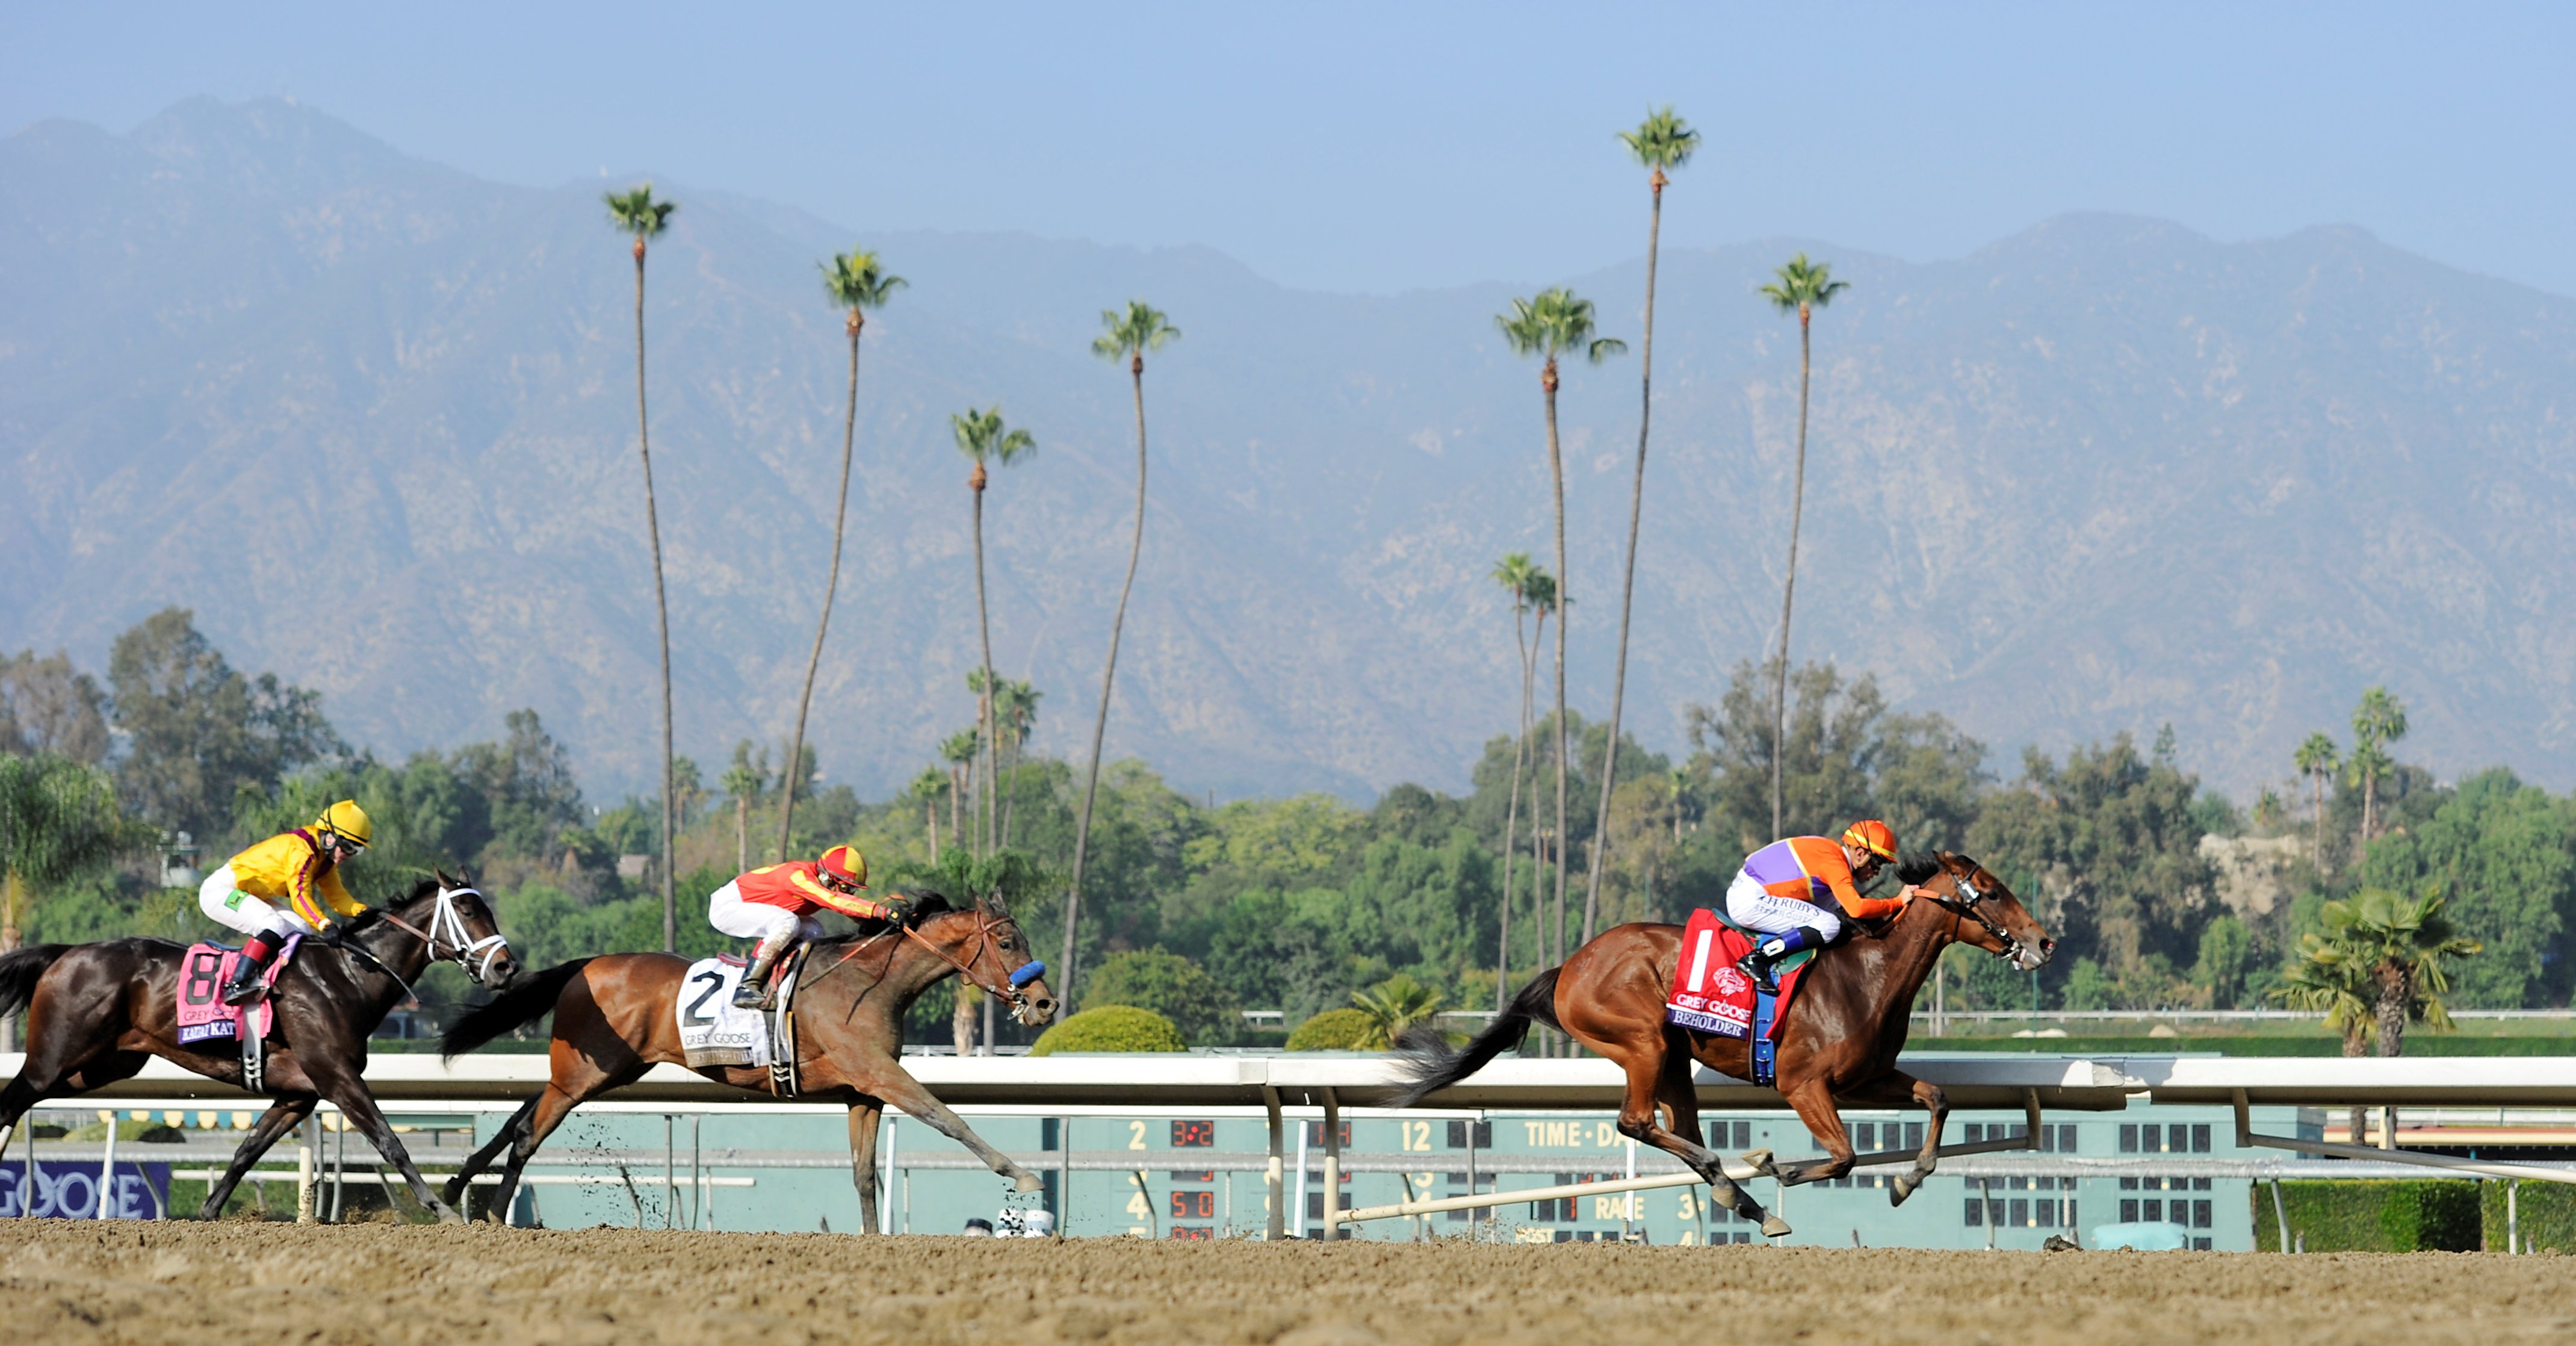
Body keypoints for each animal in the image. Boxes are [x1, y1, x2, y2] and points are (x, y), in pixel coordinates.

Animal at [0, 876, 518, 1222]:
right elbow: (391, 1142)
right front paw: (442, 1209)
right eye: (469, 912)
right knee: (13, 1097)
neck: (348, 975)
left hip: (103, 1066)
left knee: (20, 1099)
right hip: (57, 1056)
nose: (507, 968)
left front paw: (209, 1212)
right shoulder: (337, 1077)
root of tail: (66, 953)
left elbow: (247, 1151)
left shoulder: (298, 1094)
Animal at [443, 887, 1056, 1222]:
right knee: (529, 1131)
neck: (868, 981)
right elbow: (947, 1117)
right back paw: (493, 1212)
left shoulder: (862, 1091)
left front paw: (871, 1236)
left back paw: (457, 1187)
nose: (1045, 1003)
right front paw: (1023, 1175)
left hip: (602, 1070)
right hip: (586, 1073)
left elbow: (864, 1174)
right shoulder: (880, 1073)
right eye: (1007, 942)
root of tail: (587, 965)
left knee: (522, 1112)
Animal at [1401, 856, 2040, 1232]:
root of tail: (1570, 966)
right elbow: (1844, 1157)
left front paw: (1907, 1181)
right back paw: (1735, 1182)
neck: (1868, 975)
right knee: (1637, 1122)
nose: (2044, 941)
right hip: (1644, 1041)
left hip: (1674, 1057)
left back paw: (1744, 1201)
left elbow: (1936, 1098)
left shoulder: (1868, 1077)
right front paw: (1777, 1166)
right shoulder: (1803, 1085)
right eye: (1991, 892)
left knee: (1678, 1126)